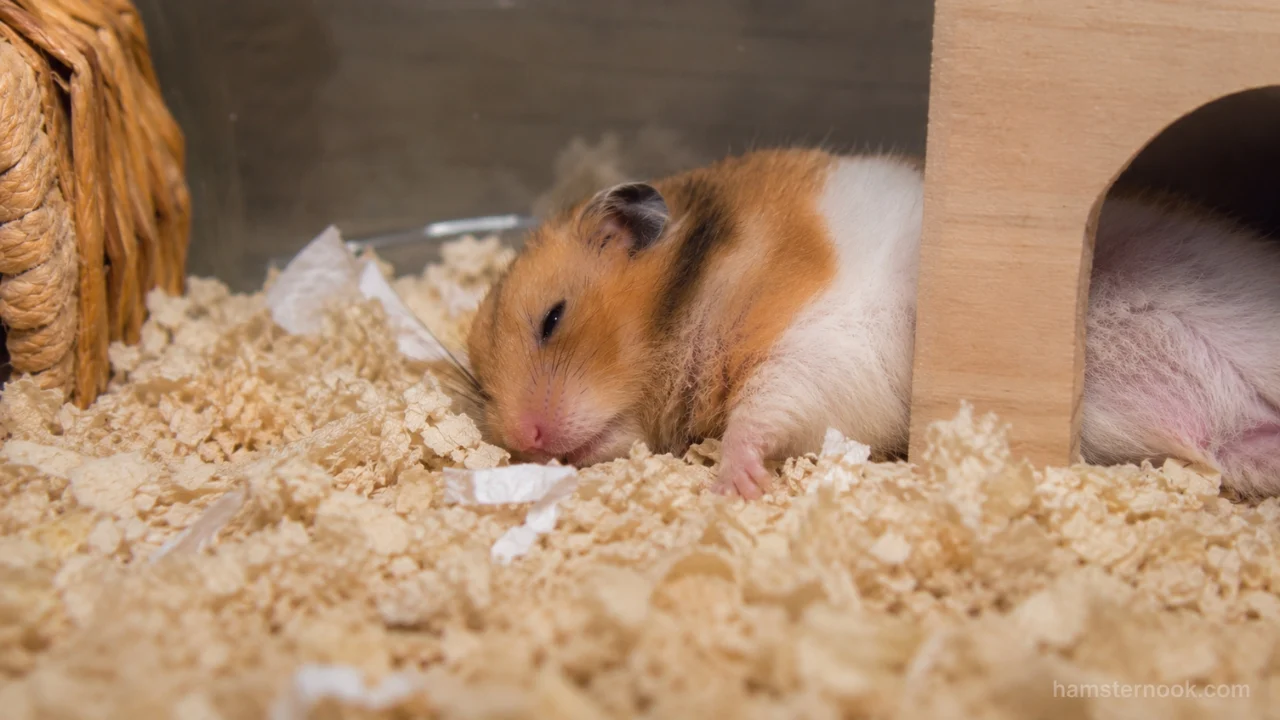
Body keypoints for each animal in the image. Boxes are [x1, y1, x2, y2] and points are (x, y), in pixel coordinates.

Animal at [464, 148, 1280, 501]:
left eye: (554, 319)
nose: (526, 439)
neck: (713, 286)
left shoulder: (812, 353)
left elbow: (761, 415)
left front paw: (735, 486)